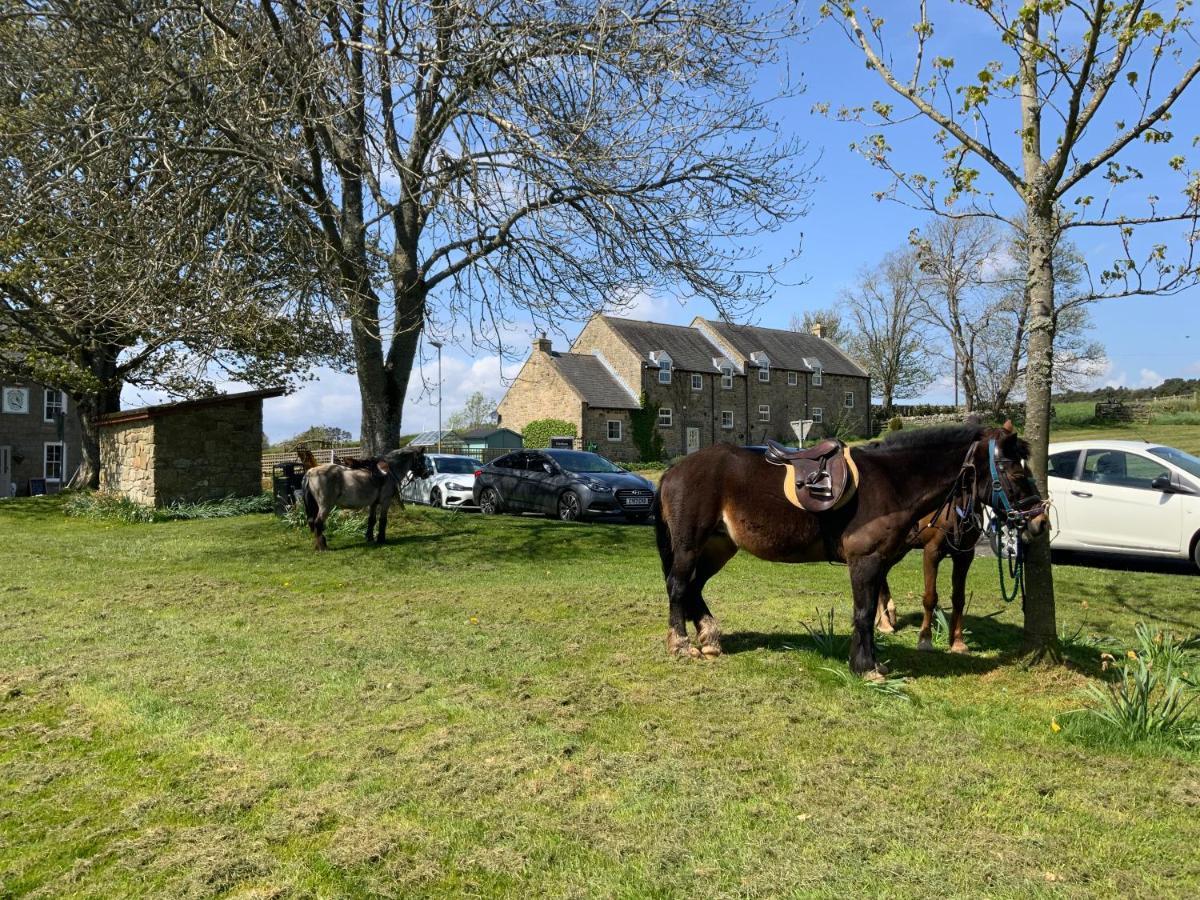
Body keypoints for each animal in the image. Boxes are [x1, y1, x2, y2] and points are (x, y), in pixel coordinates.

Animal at [300, 448, 432, 554]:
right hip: (325, 506)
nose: (427, 473)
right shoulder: (386, 501)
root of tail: (310, 472)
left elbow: (371, 520)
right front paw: (381, 539)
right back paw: (322, 547)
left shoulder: (373, 503)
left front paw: (369, 538)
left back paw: (318, 545)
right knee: (318, 523)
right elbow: (383, 520)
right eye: (422, 459)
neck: (390, 471)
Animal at [652, 422, 1046, 676]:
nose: (1039, 521)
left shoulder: (879, 563)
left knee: (694, 588)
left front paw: (873, 662)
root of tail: (673, 471)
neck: (891, 482)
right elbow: (863, 612)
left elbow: (870, 612)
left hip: (719, 547)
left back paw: (709, 639)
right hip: (689, 546)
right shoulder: (865, 562)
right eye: (1015, 472)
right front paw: (864, 667)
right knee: (679, 586)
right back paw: (682, 644)